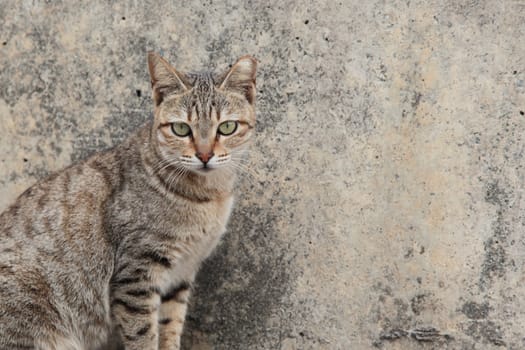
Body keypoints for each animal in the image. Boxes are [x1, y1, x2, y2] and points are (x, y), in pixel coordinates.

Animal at [0, 52, 256, 350]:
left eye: (227, 127)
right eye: (181, 129)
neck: (207, 196)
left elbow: (170, 326)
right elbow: (143, 333)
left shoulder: (181, 274)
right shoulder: (136, 271)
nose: (204, 155)